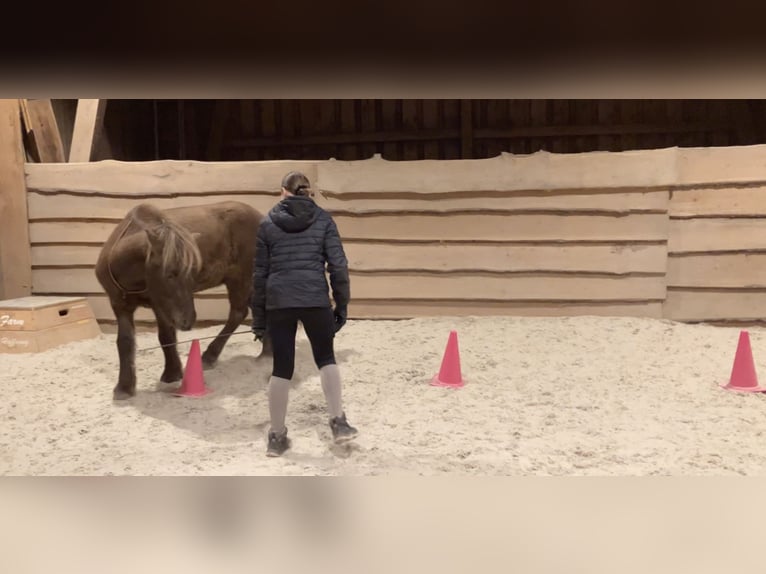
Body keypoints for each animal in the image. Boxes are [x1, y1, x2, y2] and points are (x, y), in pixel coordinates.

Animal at [94, 200, 273, 400]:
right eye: (169, 274)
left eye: (193, 271)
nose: (188, 321)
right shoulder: (119, 304)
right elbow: (125, 341)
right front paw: (124, 387)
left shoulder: (159, 305)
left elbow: (166, 336)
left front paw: (172, 373)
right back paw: (266, 353)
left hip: (241, 278)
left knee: (238, 313)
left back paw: (211, 357)